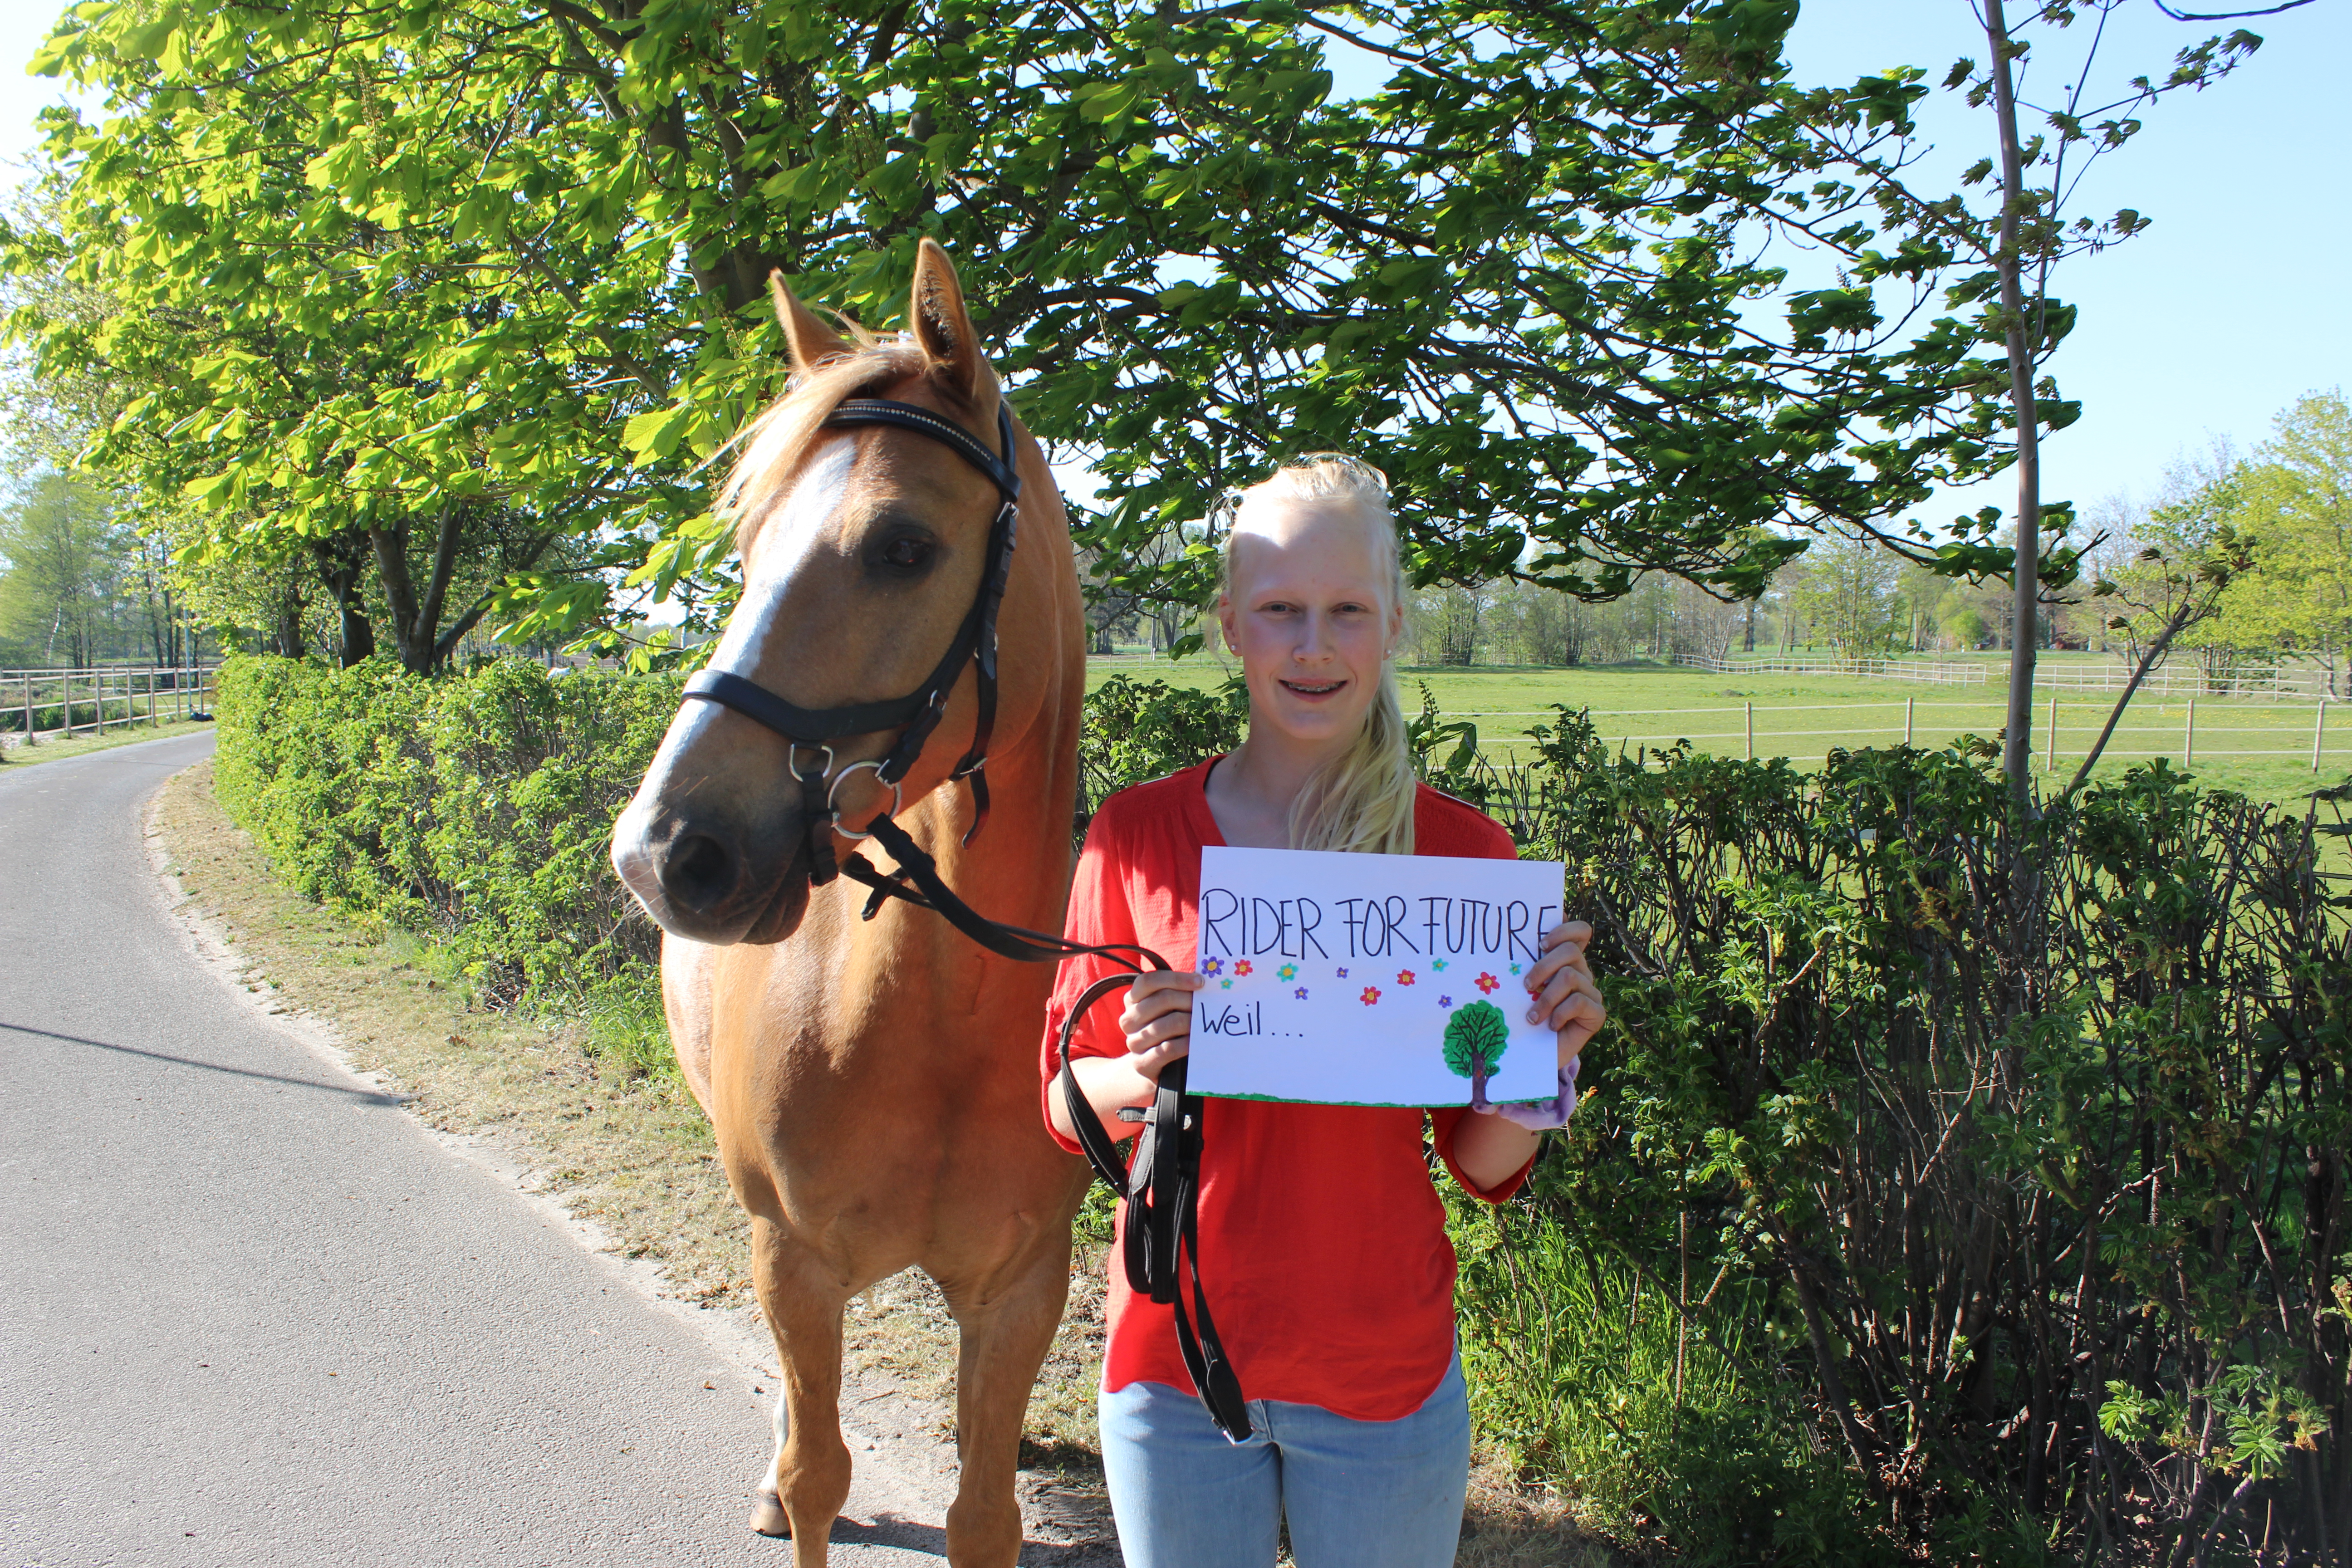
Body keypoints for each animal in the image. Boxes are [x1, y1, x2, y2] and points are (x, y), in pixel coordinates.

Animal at [602, 240, 1087, 1561]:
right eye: (750, 548)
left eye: (904, 547)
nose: (665, 852)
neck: (938, 1016)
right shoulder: (796, 1262)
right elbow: (821, 1473)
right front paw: (790, 1489)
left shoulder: (1022, 1289)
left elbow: (983, 1512)